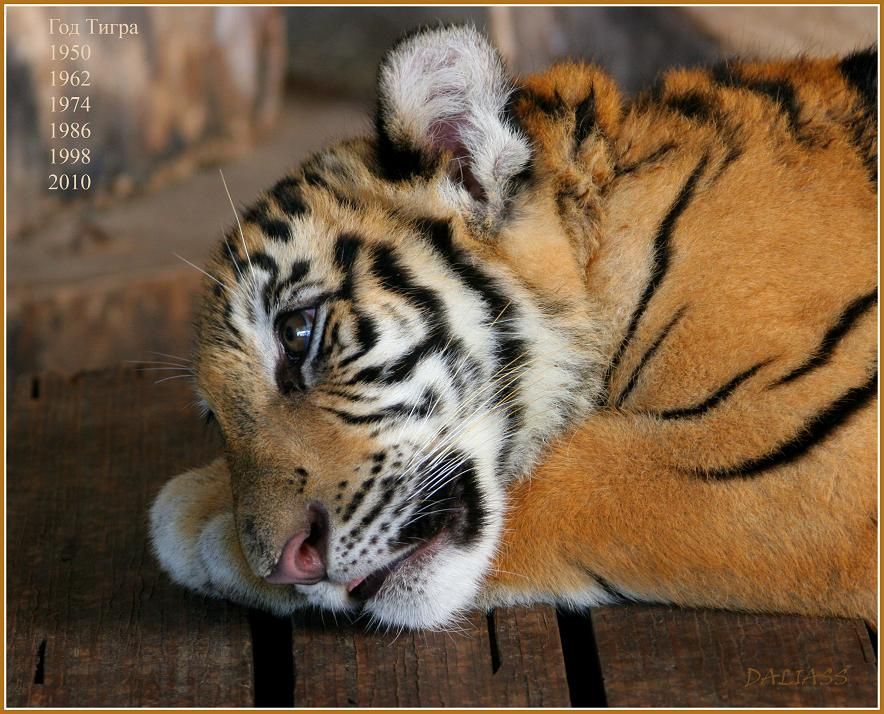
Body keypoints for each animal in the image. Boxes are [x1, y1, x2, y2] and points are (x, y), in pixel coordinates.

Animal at [150, 25, 878, 630]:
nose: (283, 564)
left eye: (297, 334)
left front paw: (196, 517)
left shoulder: (806, 450)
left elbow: (575, 471)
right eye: (216, 420)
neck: (603, 247)